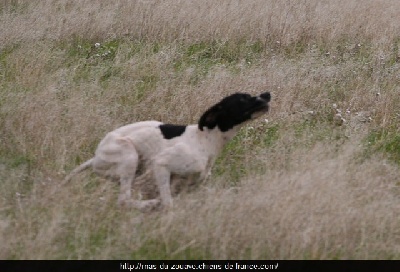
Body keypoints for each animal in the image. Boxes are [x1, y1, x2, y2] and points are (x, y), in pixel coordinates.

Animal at [64, 92, 272, 211]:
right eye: (243, 98)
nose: (267, 93)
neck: (205, 139)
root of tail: (95, 158)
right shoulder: (161, 165)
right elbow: (167, 202)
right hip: (129, 155)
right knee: (124, 199)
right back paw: (147, 204)